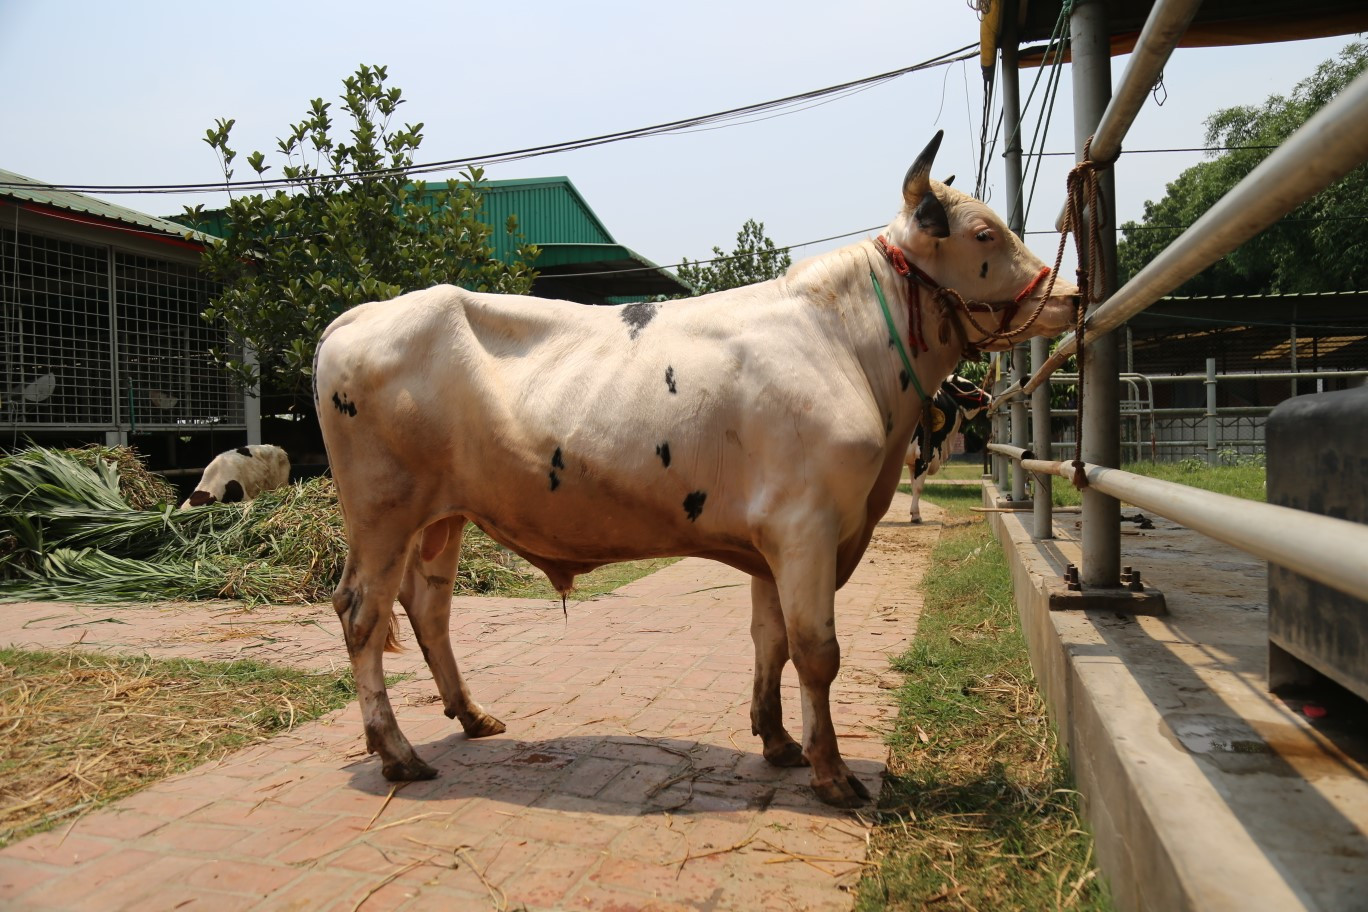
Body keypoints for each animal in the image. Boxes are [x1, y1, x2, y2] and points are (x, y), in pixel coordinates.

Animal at [905, 375, 992, 522]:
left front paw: (914, 513)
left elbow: (913, 486)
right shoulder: (923, 455)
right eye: (968, 386)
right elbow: (918, 487)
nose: (990, 397)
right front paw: (916, 516)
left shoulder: (913, 461)